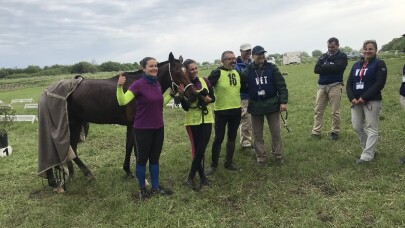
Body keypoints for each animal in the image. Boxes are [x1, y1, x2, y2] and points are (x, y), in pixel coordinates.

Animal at [45, 52, 196, 188]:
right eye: (177, 71)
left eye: (187, 71)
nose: (193, 94)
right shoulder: (135, 126)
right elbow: (136, 150)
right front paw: (140, 177)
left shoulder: (130, 125)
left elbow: (128, 146)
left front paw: (128, 171)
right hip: (73, 123)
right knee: (69, 149)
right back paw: (84, 175)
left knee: (71, 149)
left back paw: (71, 174)